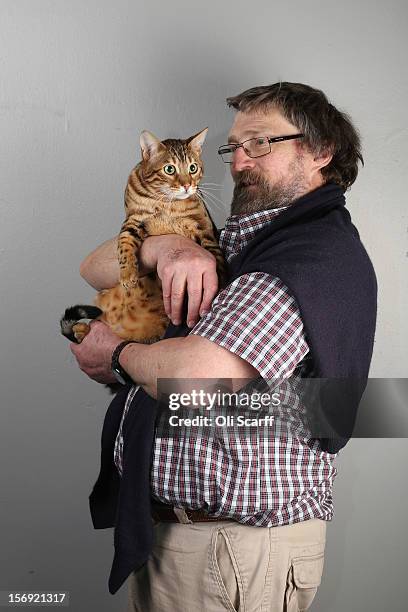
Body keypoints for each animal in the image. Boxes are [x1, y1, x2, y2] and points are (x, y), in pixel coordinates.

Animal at [60, 126, 226, 346]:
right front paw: (128, 274)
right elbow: (124, 246)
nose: (187, 185)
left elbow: (217, 261)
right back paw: (82, 330)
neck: (166, 202)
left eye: (192, 168)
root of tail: (119, 325)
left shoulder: (203, 229)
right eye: (169, 169)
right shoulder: (132, 222)